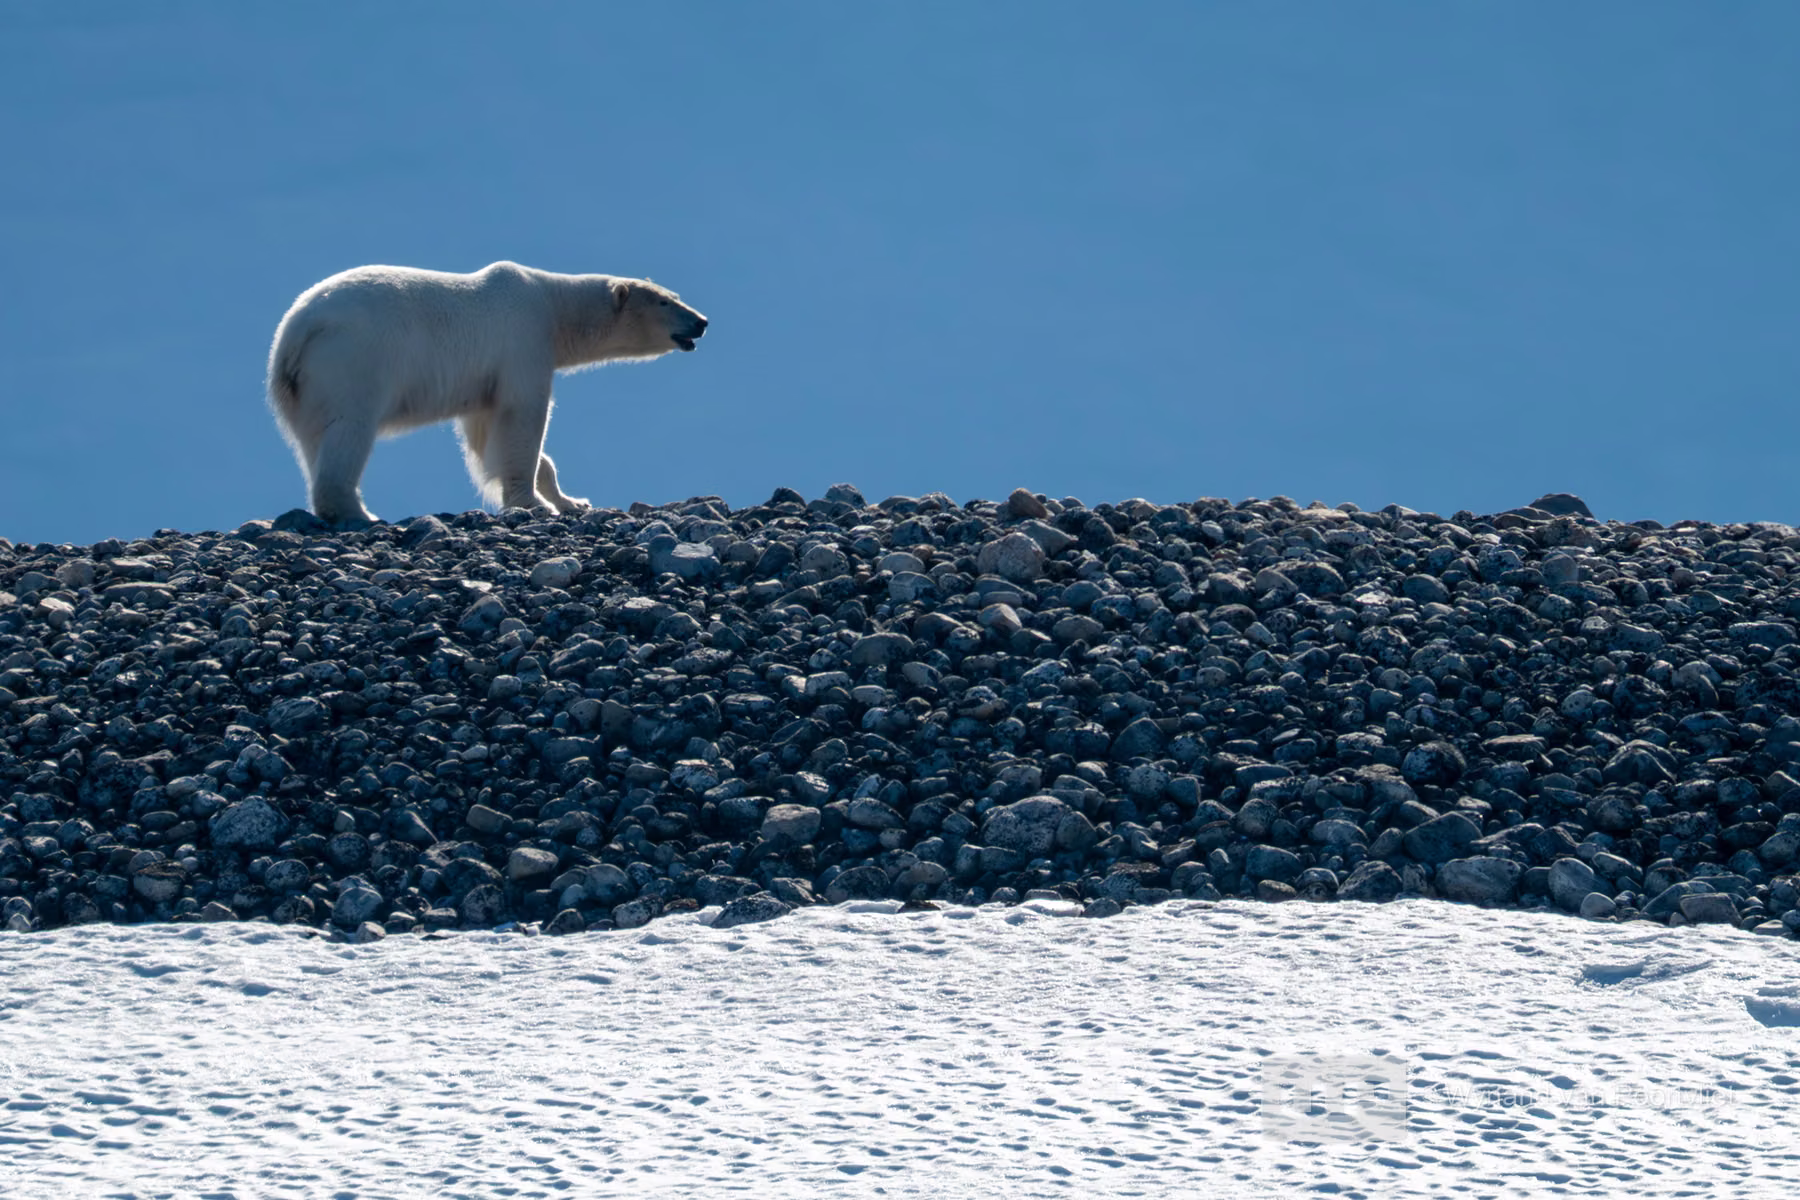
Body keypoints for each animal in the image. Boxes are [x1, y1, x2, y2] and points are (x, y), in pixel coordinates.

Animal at [266, 261, 708, 525]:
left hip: (306, 389)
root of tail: (293, 332)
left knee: (314, 442)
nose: (702, 322)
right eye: (666, 301)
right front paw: (535, 504)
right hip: (353, 360)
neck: (552, 304)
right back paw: (360, 513)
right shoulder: (523, 340)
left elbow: (484, 433)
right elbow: (522, 418)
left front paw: (572, 501)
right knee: (349, 430)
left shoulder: (484, 380)